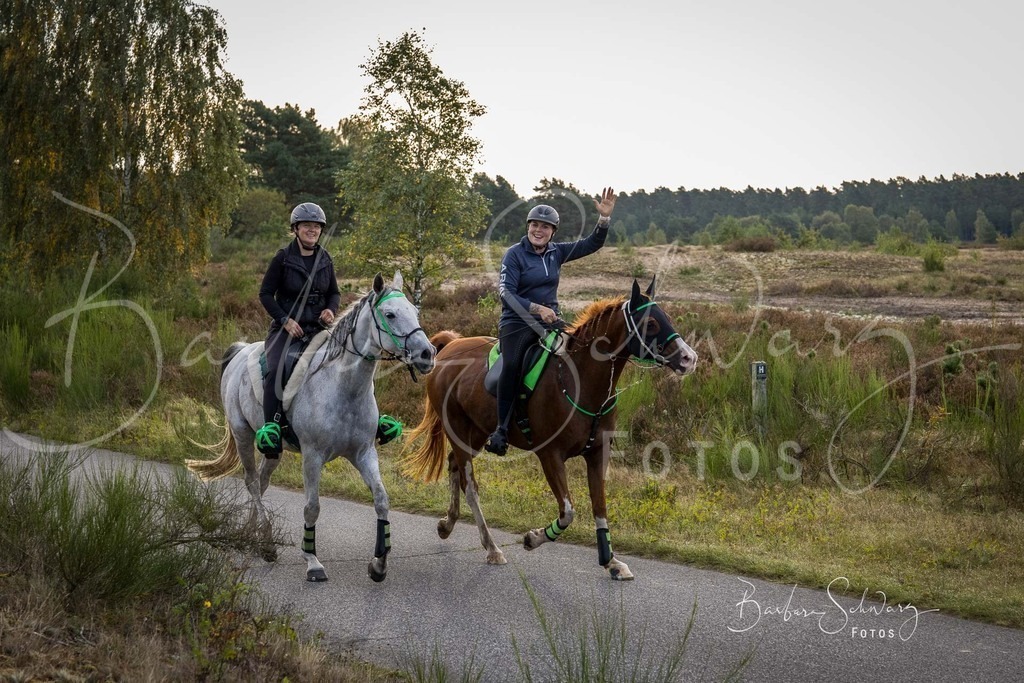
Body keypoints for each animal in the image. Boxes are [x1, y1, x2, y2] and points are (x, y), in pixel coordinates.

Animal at [186, 272, 435, 582]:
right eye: (389, 314)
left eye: (414, 311)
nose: (427, 354)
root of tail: (241, 352)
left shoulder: (364, 453)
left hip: (273, 448)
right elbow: (312, 508)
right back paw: (266, 543)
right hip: (242, 433)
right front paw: (312, 561)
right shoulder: (312, 456)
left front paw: (379, 564)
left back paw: (252, 535)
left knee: (262, 482)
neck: (344, 387)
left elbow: (381, 499)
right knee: (252, 482)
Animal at [402, 277, 697, 580]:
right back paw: (492, 548)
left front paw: (611, 561)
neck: (581, 382)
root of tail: (450, 346)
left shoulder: (597, 453)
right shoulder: (550, 455)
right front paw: (532, 538)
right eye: (650, 323)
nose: (689, 358)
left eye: (667, 317)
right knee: (469, 486)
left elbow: (599, 505)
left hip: (476, 431)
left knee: (453, 466)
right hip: (459, 430)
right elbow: (568, 511)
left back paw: (447, 524)